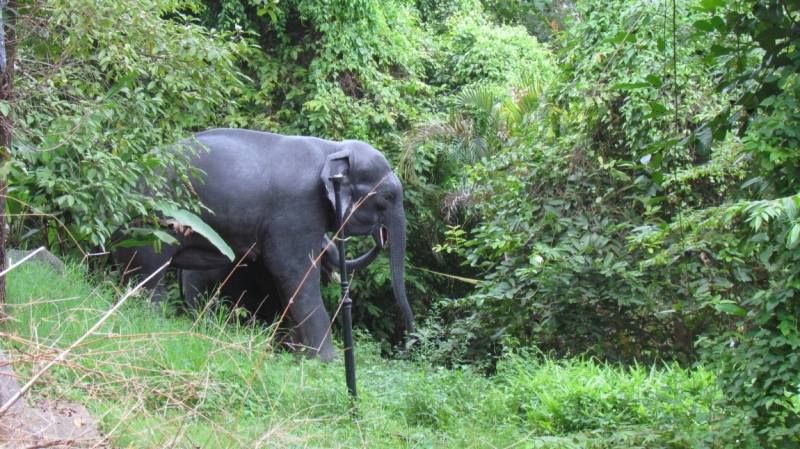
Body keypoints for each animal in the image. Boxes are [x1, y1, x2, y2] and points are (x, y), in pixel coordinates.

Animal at [112, 127, 416, 360]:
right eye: (388, 196)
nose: (382, 236)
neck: (332, 148)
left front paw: (298, 356)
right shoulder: (296, 209)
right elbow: (292, 272)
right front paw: (326, 361)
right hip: (152, 222)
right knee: (148, 275)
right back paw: (148, 326)